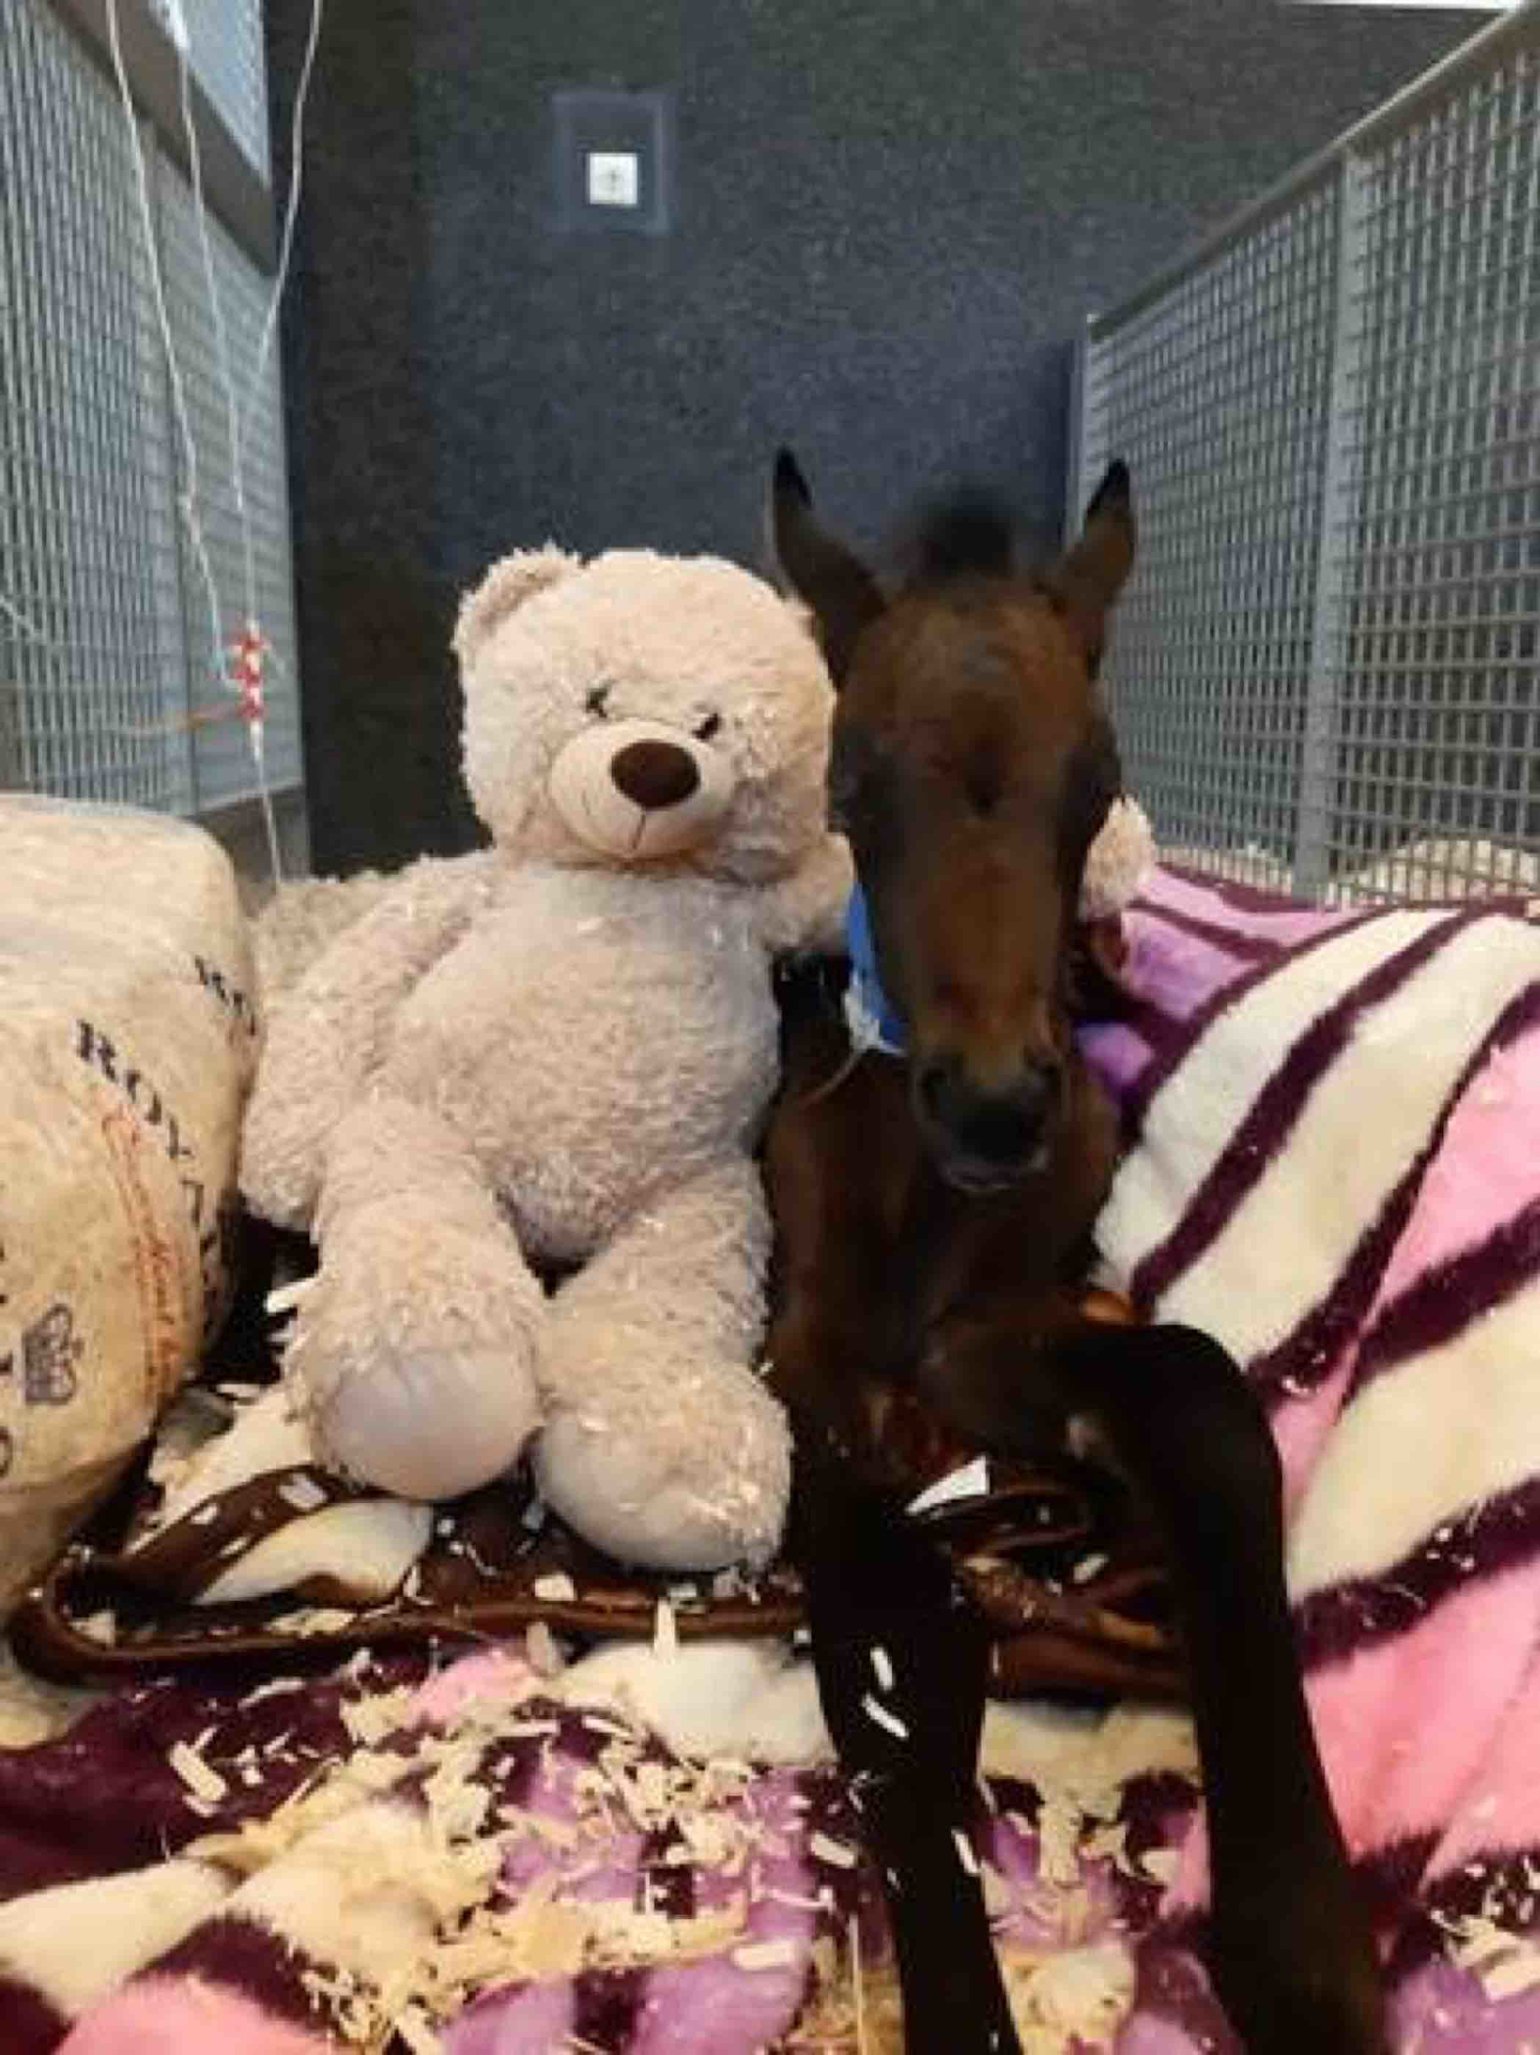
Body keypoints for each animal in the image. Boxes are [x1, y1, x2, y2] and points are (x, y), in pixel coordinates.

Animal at [763, 450, 1386, 2055]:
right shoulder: (817, 1366)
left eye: (1097, 782)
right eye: (849, 786)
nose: (994, 1102)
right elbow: (893, 1676)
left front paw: (1299, 1939)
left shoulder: (992, 1331)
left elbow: (1196, 1393)